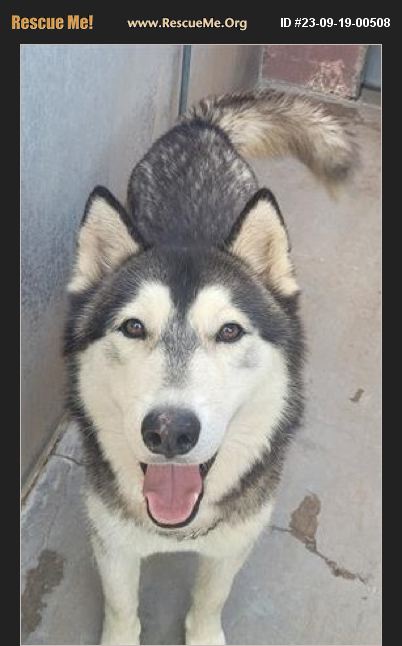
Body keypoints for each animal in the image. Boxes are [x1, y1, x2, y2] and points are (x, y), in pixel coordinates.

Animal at [64, 89, 356, 645]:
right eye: (133, 327)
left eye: (229, 332)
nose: (169, 431)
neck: (176, 527)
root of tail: (199, 126)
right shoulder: (111, 540)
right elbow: (121, 608)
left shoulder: (234, 542)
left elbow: (209, 600)